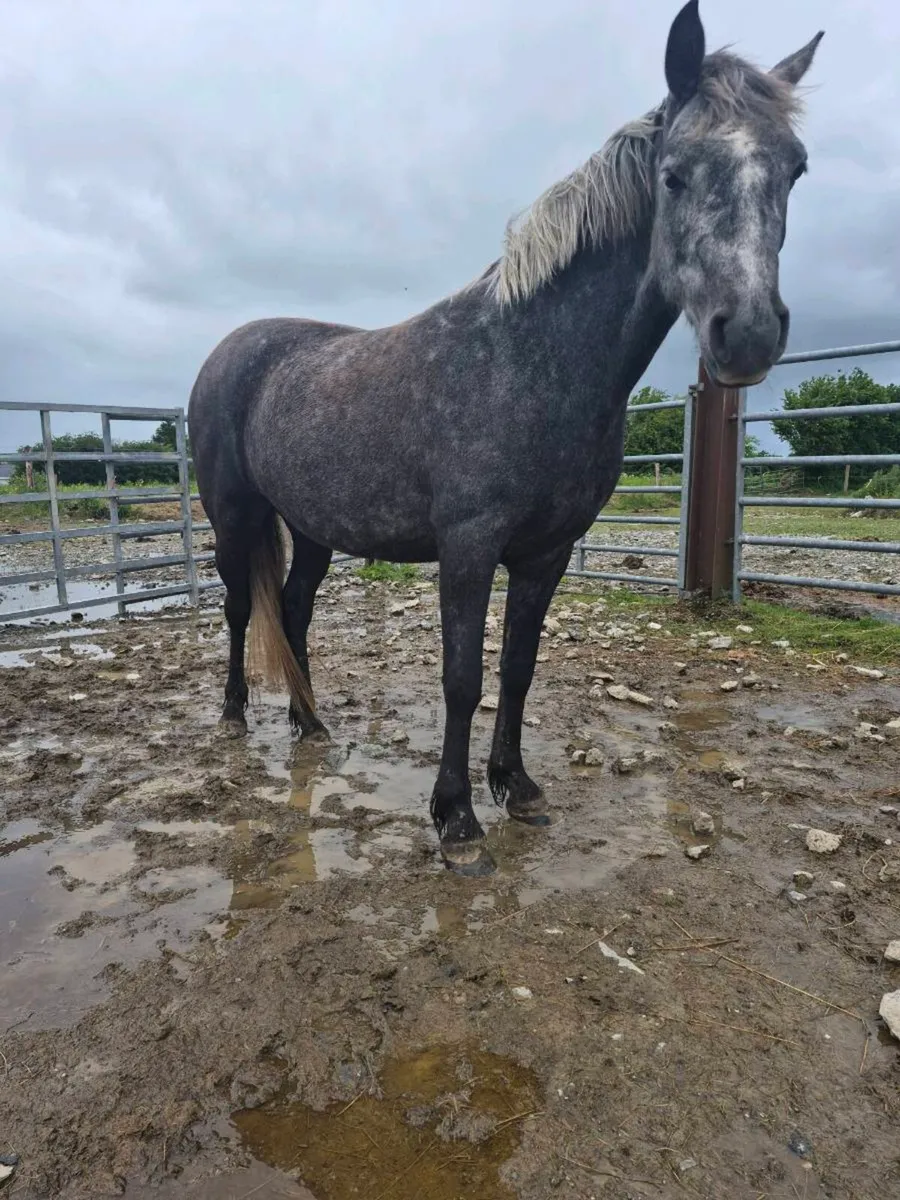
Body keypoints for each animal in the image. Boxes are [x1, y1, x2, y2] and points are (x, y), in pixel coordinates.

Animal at [189, 2, 823, 876]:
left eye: (795, 169)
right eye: (675, 174)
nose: (749, 334)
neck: (529, 360)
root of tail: (230, 350)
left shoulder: (546, 551)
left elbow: (518, 669)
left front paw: (515, 787)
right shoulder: (468, 546)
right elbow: (462, 676)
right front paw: (455, 819)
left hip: (312, 527)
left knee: (291, 609)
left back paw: (312, 724)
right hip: (233, 516)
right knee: (237, 608)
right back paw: (233, 715)